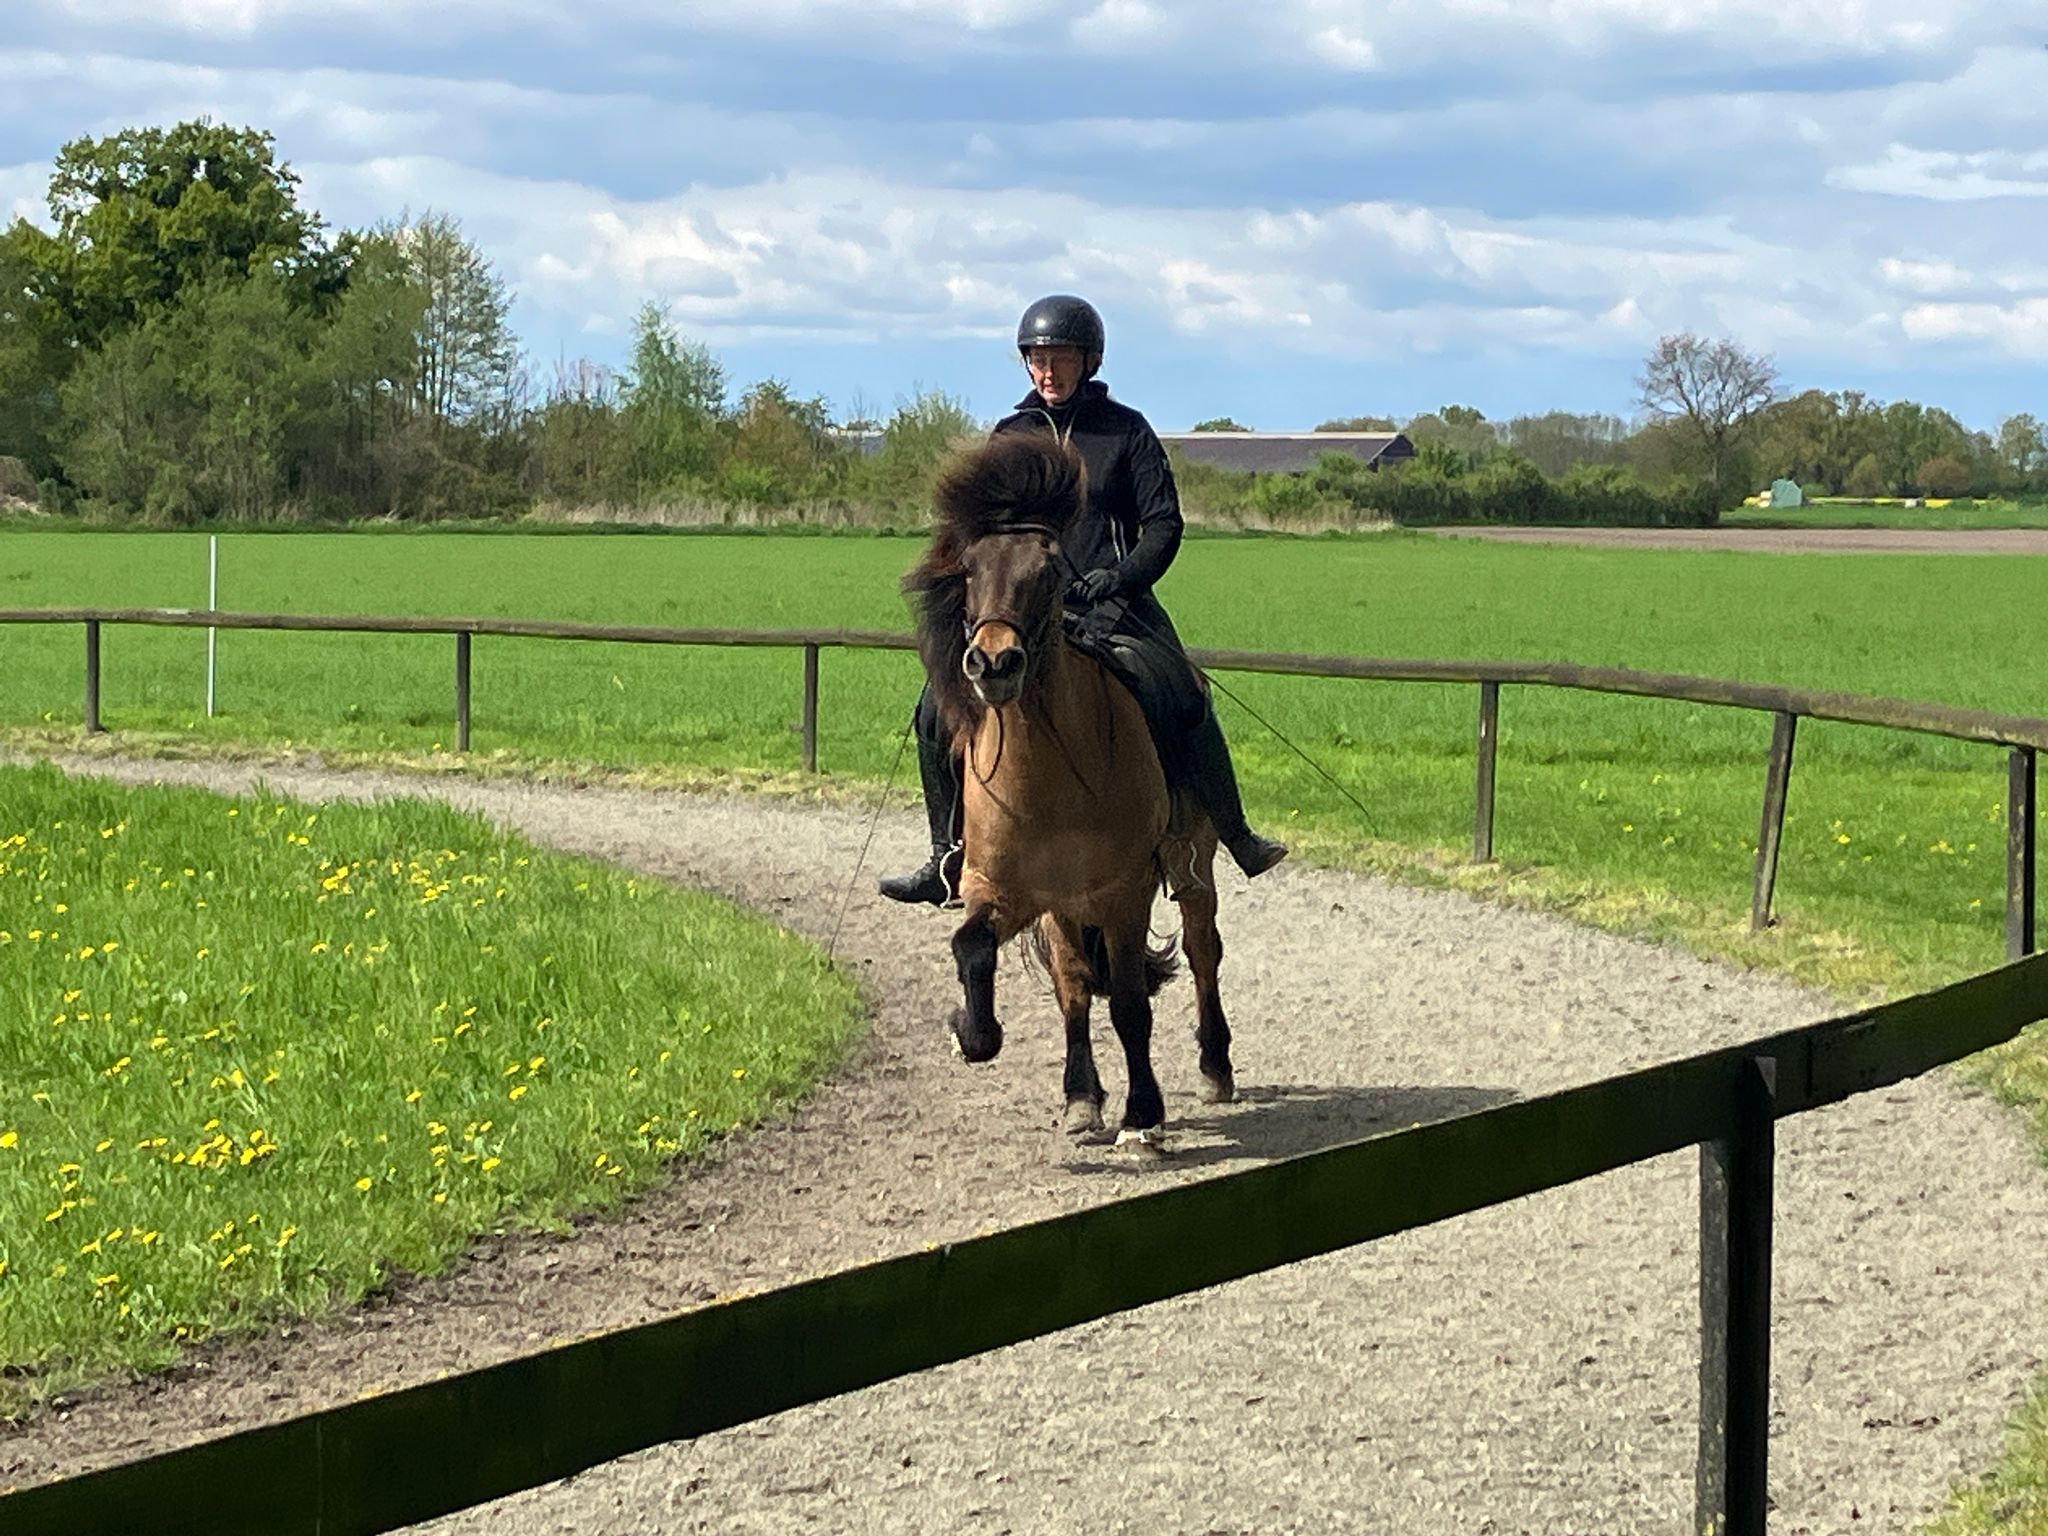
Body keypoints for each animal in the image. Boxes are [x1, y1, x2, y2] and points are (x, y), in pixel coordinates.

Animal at [903, 431, 1235, 1151]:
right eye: (968, 569)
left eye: (1050, 572)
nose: (993, 664)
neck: (1049, 776)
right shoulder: (1007, 890)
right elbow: (986, 953)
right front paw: (975, 1036)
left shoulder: (1124, 891)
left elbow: (1133, 1004)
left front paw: (1143, 1118)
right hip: (1064, 907)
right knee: (1076, 982)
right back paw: (1084, 1094)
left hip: (1191, 864)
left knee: (1203, 950)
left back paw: (1215, 1068)